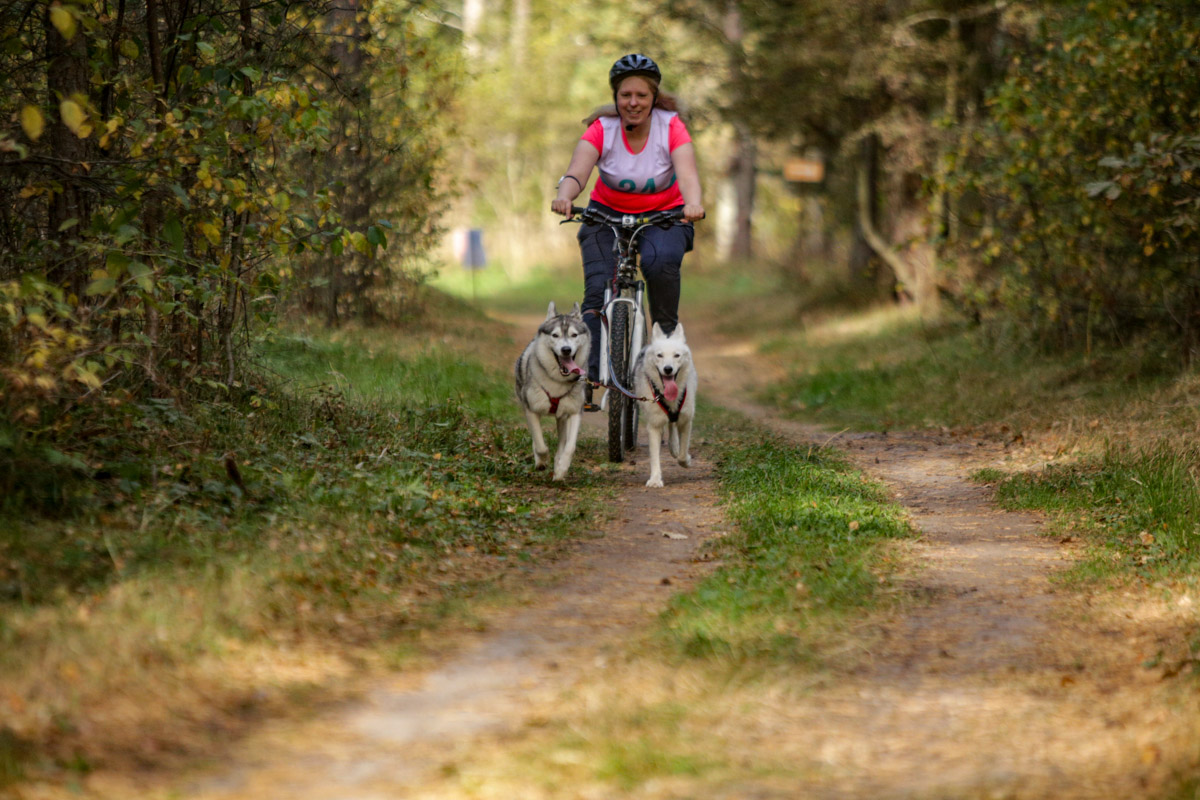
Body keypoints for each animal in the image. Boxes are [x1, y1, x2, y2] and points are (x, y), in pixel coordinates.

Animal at [516, 303, 590, 482]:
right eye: (555, 335)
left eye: (574, 335)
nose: (566, 349)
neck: (557, 382)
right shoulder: (531, 409)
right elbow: (540, 444)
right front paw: (542, 461)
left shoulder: (575, 412)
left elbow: (569, 447)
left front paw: (561, 469)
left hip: (562, 416)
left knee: (562, 441)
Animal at [633, 323, 700, 489]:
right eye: (660, 355)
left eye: (677, 355)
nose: (668, 369)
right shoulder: (654, 426)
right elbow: (654, 456)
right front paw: (655, 479)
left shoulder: (686, 421)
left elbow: (682, 453)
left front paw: (686, 460)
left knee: (672, 426)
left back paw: (674, 446)